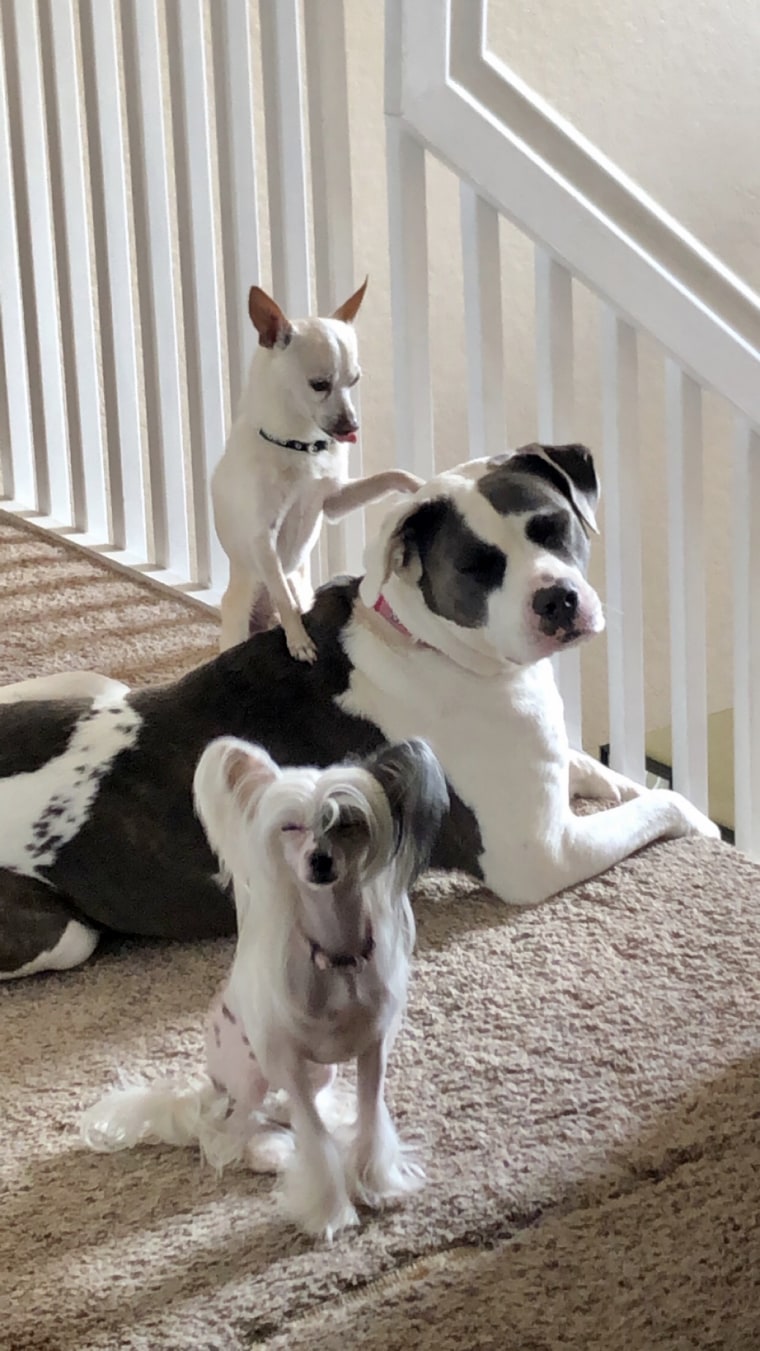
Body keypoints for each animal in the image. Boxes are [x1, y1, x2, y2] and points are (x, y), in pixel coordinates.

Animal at [0, 445, 718, 983]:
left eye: (552, 526)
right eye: (476, 566)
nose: (557, 600)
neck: (426, 640)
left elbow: (602, 773)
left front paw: (614, 779)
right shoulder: (541, 856)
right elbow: (666, 805)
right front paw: (703, 823)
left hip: (98, 682)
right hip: (67, 934)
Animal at [80, 734, 448, 1237]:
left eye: (347, 822)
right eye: (291, 826)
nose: (319, 860)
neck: (336, 956)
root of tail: (212, 1084)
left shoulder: (372, 1052)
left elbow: (371, 1118)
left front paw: (377, 1185)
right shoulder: (287, 1060)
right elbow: (313, 1141)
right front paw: (330, 1213)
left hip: (320, 1071)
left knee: (279, 1109)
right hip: (250, 1076)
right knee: (226, 1129)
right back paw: (266, 1151)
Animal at [214, 279, 421, 659]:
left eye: (354, 381)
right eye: (319, 384)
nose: (352, 425)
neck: (300, 445)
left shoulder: (332, 501)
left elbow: (389, 476)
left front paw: (417, 483)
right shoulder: (262, 537)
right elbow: (284, 598)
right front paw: (298, 640)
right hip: (240, 613)